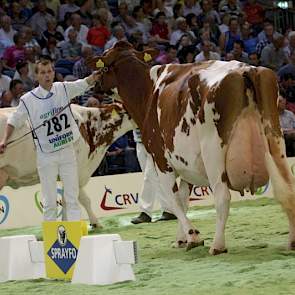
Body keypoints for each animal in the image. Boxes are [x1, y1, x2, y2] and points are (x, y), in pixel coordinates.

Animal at [88, 41, 295, 254]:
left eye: (103, 65)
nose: (94, 82)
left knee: (222, 196)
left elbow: (174, 200)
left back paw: (217, 245)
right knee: (288, 188)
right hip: (275, 139)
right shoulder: (186, 164)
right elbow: (184, 198)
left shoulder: (161, 159)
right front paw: (182, 238)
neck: (147, 92)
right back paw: (291, 241)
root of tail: (245, 69)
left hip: (213, 150)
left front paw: (193, 236)